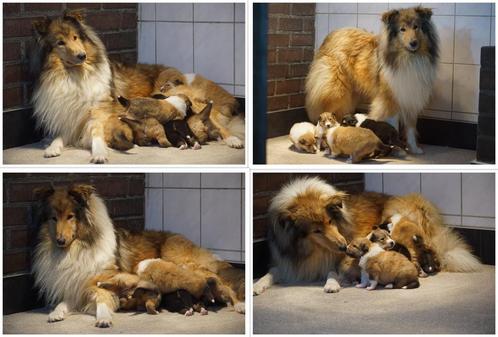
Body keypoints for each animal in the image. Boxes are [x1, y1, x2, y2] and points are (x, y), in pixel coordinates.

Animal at [29, 9, 243, 163]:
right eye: (60, 42)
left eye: (76, 37)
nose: (82, 56)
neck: (75, 75)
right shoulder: (68, 117)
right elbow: (59, 135)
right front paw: (52, 148)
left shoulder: (100, 111)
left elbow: (97, 132)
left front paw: (99, 153)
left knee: (217, 123)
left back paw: (234, 140)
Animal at [255, 176, 480, 294]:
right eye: (316, 230)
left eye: (330, 222)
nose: (343, 245)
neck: (312, 250)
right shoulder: (288, 263)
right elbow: (271, 272)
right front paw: (256, 285)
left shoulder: (338, 258)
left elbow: (332, 271)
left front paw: (331, 284)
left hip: (398, 219)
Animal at [304, 6, 440, 154]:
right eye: (402, 29)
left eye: (416, 27)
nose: (413, 43)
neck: (408, 59)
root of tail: (333, 34)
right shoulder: (389, 99)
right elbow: (393, 124)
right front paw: (397, 148)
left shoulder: (411, 96)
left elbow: (410, 127)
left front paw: (414, 148)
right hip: (336, 90)